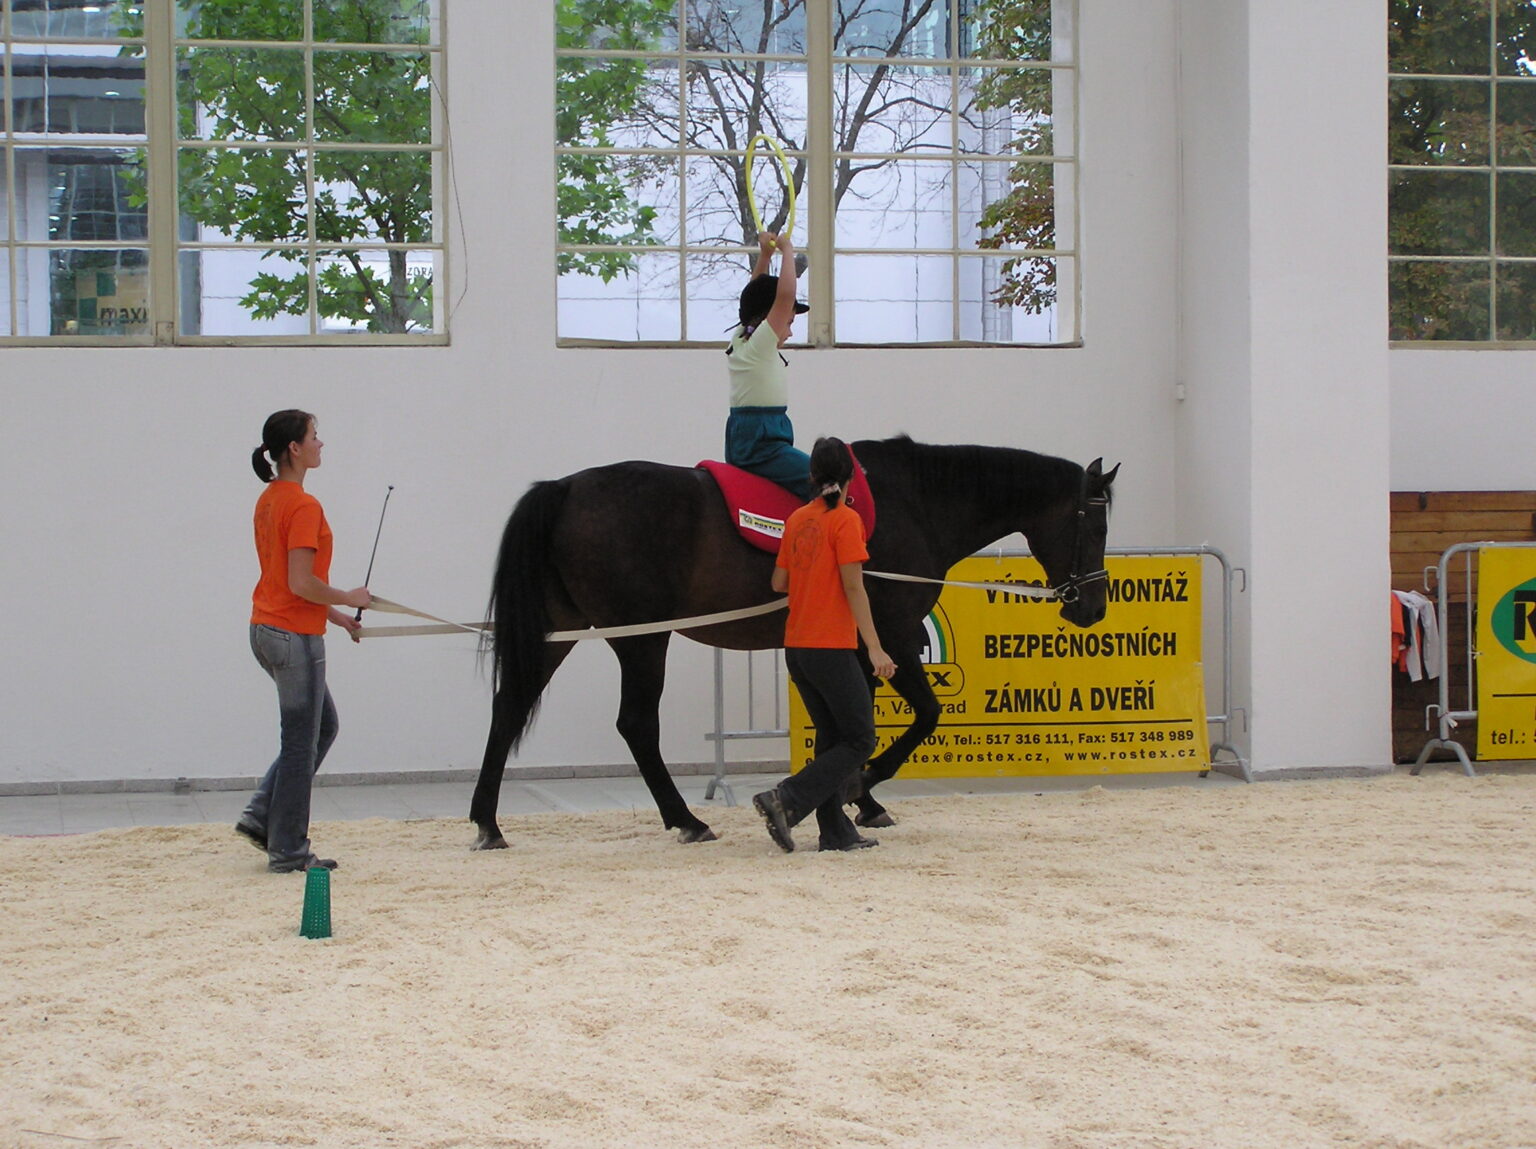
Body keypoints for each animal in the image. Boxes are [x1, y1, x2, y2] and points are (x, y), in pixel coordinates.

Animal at [469, 436, 1118, 849]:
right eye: (1095, 524)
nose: (1092, 608)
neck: (919, 502)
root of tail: (565, 488)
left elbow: (860, 723)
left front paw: (854, 801)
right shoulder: (889, 634)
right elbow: (923, 716)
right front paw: (863, 789)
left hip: (559, 633)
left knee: (508, 709)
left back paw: (488, 824)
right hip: (642, 640)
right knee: (635, 724)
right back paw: (686, 820)